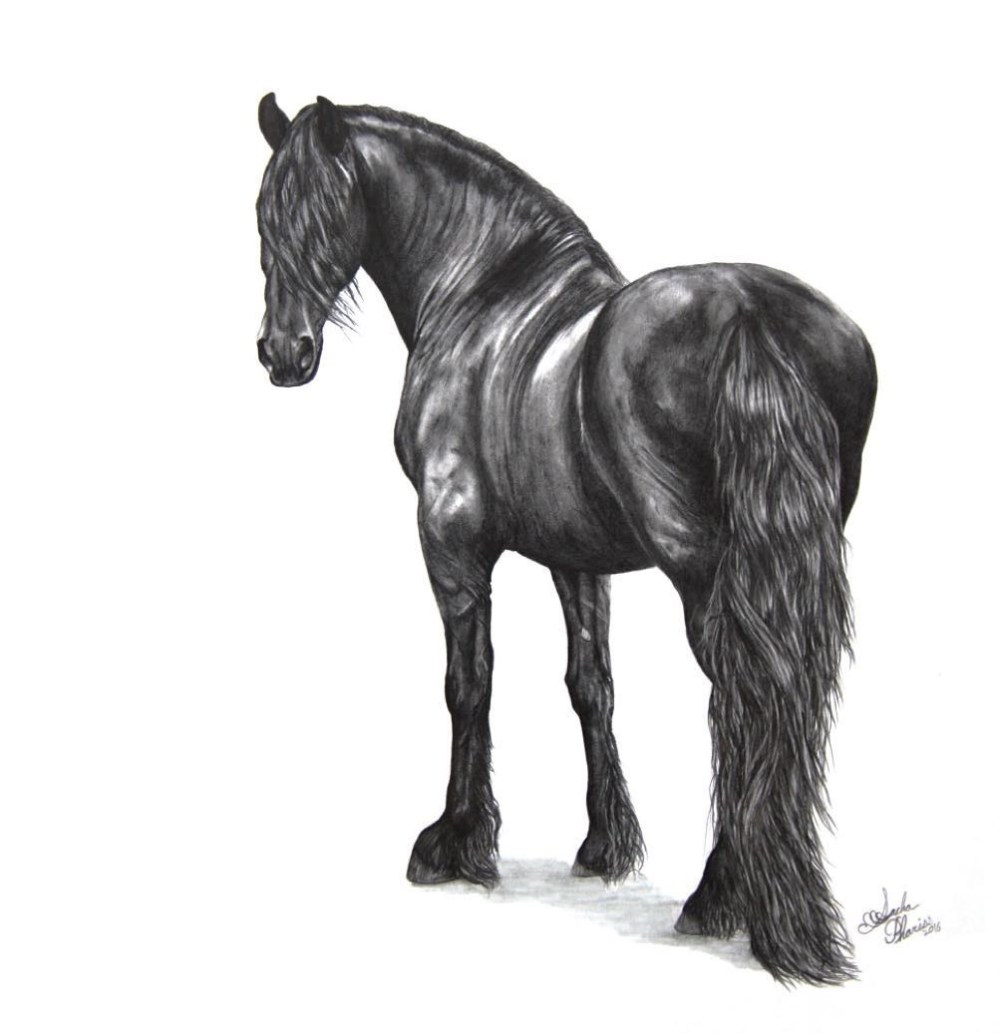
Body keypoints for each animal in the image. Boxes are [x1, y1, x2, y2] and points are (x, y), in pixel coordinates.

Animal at [254, 93, 877, 985]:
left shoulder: (451, 546)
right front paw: (605, 846)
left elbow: (468, 685)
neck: (485, 298)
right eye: (263, 214)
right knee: (779, 699)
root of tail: (750, 313)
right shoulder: (576, 560)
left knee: (745, 699)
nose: (283, 353)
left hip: (704, 575)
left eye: (326, 209)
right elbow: (592, 686)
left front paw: (455, 844)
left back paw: (718, 899)